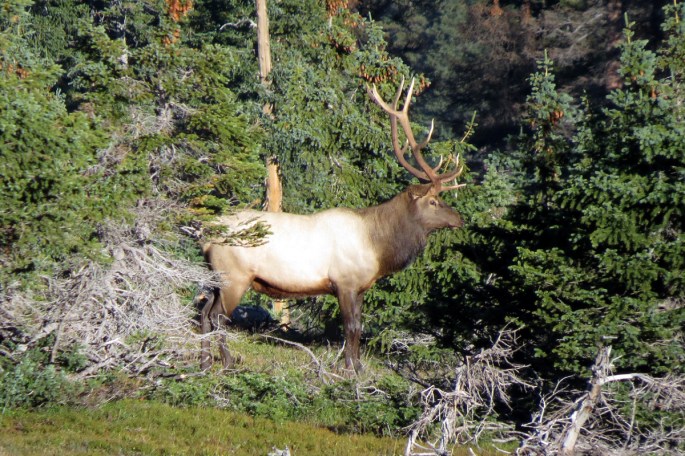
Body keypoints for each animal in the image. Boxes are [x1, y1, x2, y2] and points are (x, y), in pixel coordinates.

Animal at [200, 78, 466, 373]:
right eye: (433, 201)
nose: (460, 219)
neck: (378, 247)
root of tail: (206, 236)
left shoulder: (360, 286)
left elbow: (359, 326)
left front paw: (358, 367)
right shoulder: (344, 282)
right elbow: (350, 327)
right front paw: (350, 369)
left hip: (215, 277)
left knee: (203, 312)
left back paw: (204, 360)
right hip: (234, 276)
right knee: (219, 317)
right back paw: (226, 362)